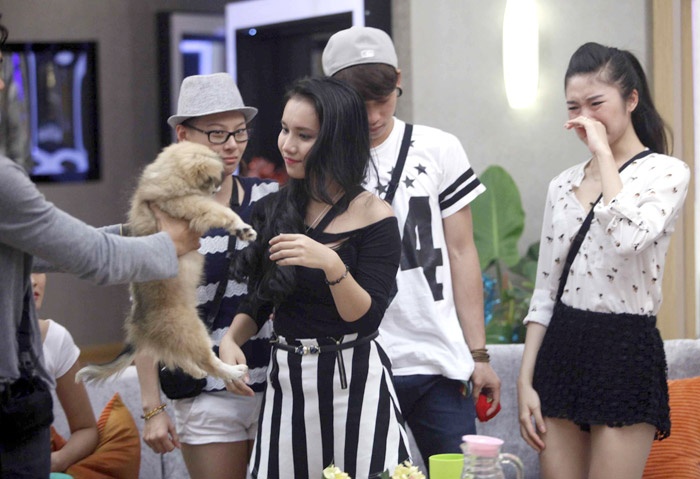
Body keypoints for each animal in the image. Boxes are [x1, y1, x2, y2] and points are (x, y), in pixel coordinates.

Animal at [77, 141, 252, 384]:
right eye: (212, 180)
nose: (217, 189)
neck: (170, 174)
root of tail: (139, 329)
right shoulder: (192, 205)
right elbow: (222, 211)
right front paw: (243, 228)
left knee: (179, 356)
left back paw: (196, 371)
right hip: (192, 330)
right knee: (207, 360)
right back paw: (233, 371)